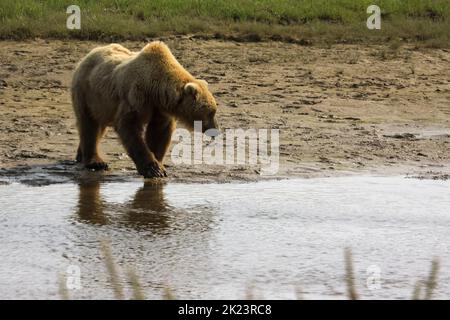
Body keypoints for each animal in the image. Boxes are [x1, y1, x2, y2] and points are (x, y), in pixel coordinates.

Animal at [70, 41, 218, 178]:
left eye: (214, 110)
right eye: (210, 112)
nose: (216, 131)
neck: (156, 89)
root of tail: (90, 53)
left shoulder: (160, 108)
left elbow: (159, 131)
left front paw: (158, 163)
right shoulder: (137, 97)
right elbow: (129, 126)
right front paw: (154, 169)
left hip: (101, 104)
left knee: (97, 126)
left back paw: (80, 155)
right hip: (87, 93)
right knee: (89, 125)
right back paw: (95, 162)